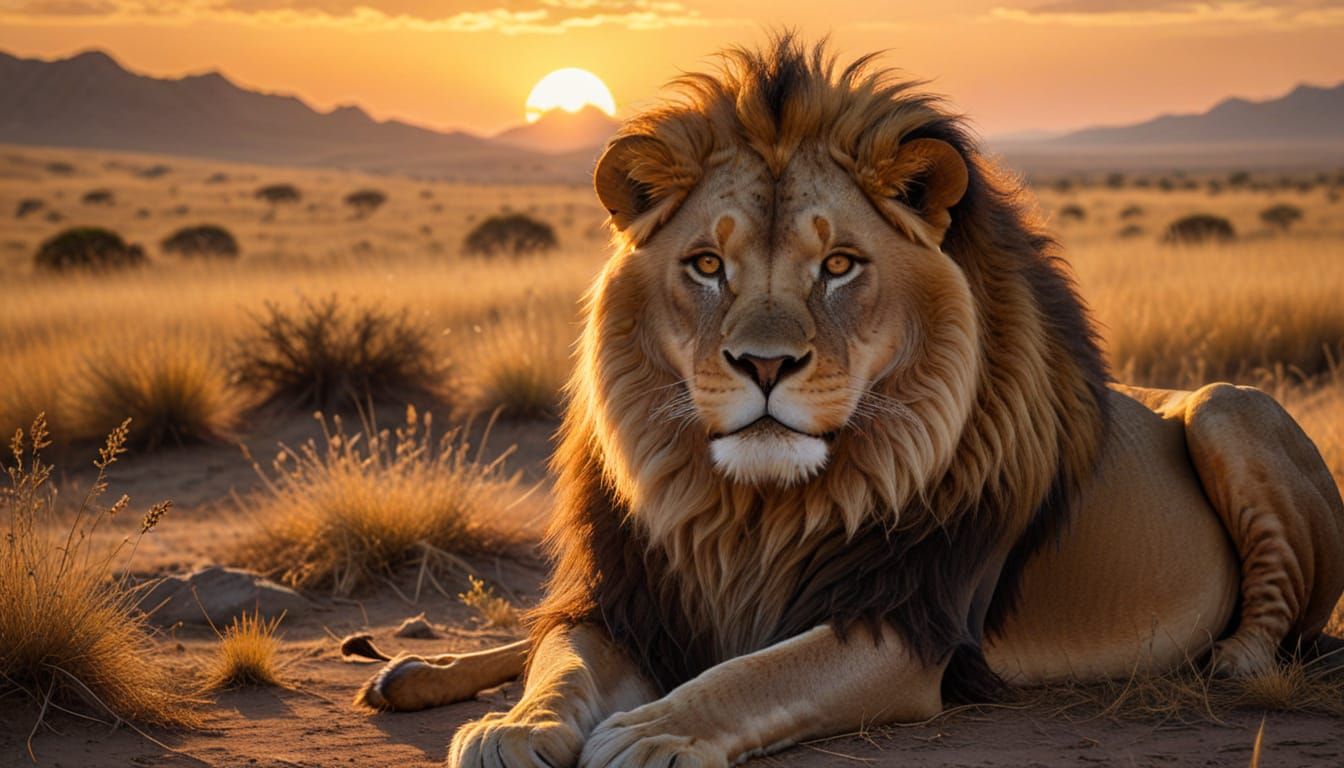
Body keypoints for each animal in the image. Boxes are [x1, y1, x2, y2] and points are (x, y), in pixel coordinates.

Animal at [350, 36, 1344, 767]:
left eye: (838, 265)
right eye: (705, 265)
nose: (764, 364)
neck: (747, 510)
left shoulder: (905, 623)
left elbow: (754, 675)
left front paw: (652, 732)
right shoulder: (629, 597)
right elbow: (560, 660)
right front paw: (511, 726)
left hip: (1227, 407)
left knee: (1278, 612)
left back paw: (1231, 659)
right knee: (539, 626)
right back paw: (410, 670)